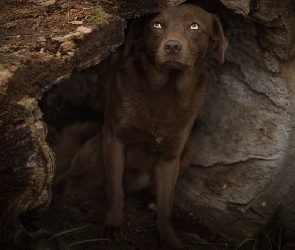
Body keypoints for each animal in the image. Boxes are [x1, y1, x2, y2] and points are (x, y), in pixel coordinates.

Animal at [103, 2, 228, 249]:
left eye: (194, 26)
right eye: (157, 25)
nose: (172, 46)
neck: (166, 92)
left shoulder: (171, 157)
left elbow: (166, 206)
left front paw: (170, 238)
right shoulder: (114, 139)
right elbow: (115, 189)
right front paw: (113, 226)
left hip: (192, 143)